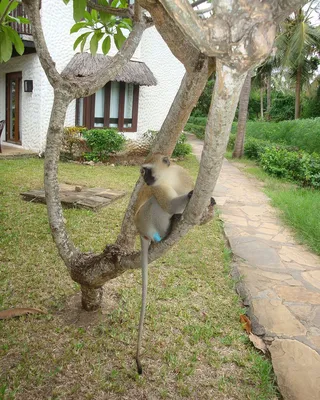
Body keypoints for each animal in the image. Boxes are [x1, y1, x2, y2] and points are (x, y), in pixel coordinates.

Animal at [134, 153, 211, 376]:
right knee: (155, 204)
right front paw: (189, 197)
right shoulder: (158, 188)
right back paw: (166, 232)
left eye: (146, 170)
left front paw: (210, 204)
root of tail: (140, 232)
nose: (145, 179)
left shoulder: (181, 174)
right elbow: (167, 204)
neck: (167, 177)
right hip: (144, 220)